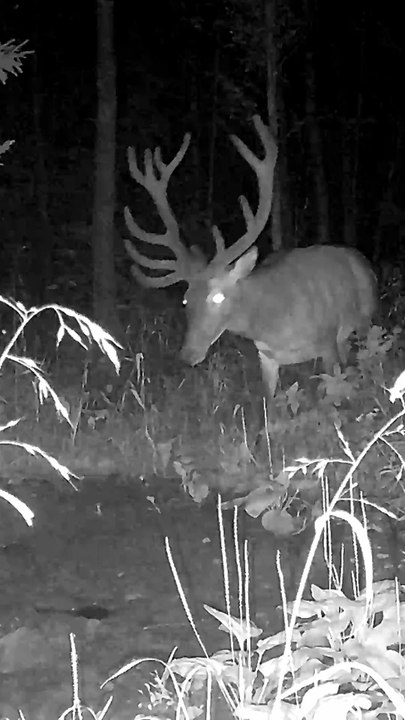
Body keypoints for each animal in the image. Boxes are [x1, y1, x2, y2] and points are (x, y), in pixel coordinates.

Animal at [124, 116, 377, 396]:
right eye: (185, 299)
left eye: (218, 297)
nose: (187, 355)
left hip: (366, 321)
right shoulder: (266, 356)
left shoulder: (327, 342)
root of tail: (361, 258)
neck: (272, 324)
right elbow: (270, 401)